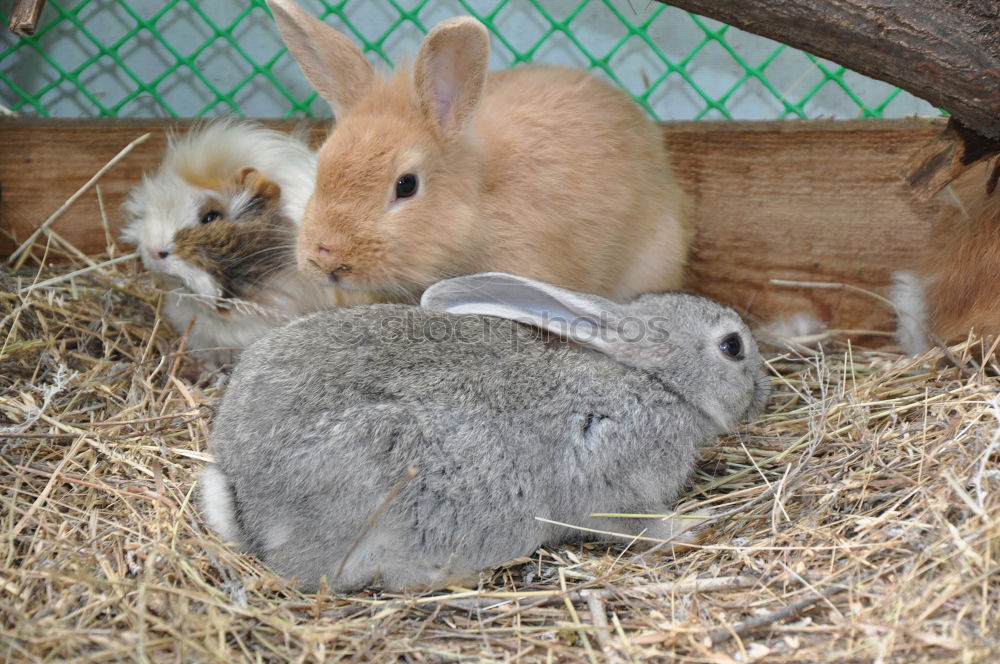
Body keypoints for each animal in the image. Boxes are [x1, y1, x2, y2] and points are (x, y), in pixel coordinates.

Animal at [199, 272, 768, 592]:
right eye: (732, 346)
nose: (763, 391)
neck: (654, 383)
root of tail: (245, 497)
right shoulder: (616, 479)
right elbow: (640, 527)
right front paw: (694, 525)